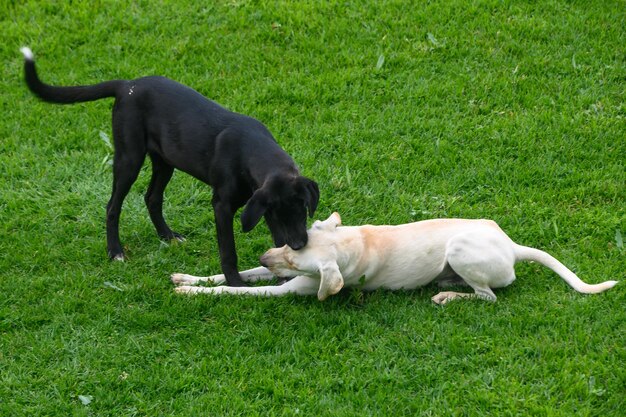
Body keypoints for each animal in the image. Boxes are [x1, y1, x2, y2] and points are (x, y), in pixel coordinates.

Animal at [22, 46, 320, 286]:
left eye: (301, 209)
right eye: (279, 214)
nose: (299, 245)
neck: (253, 151)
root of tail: (126, 85)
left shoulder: (259, 203)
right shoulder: (222, 206)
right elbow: (228, 251)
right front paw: (236, 284)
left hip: (165, 161)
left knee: (152, 197)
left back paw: (167, 236)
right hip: (129, 157)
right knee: (112, 206)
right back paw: (115, 251)